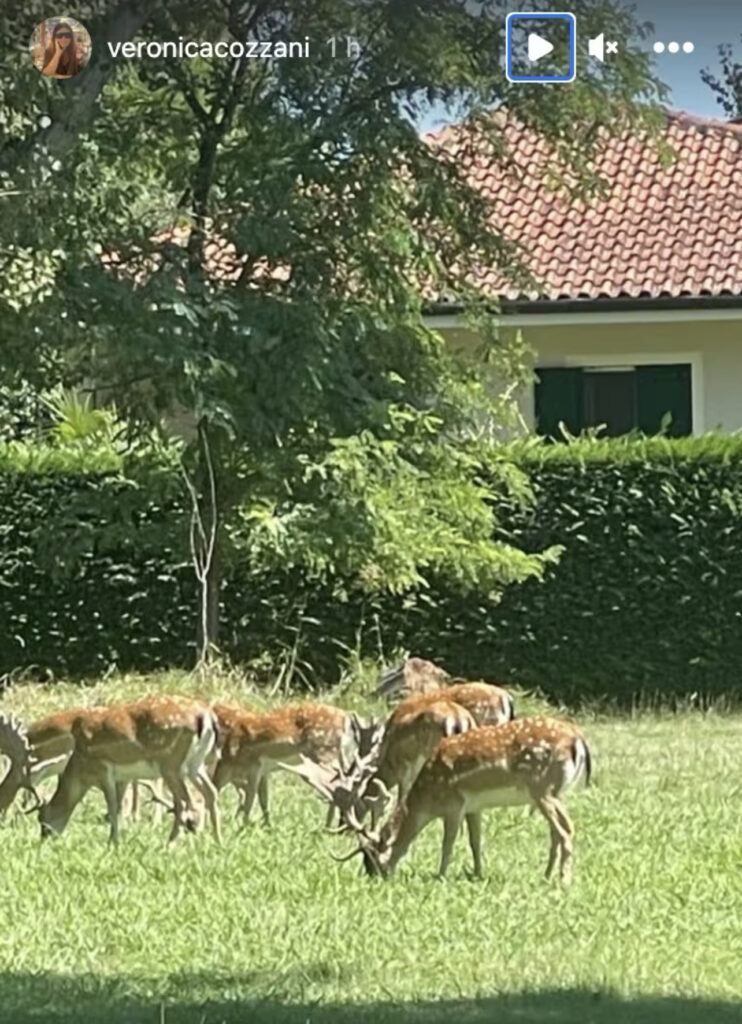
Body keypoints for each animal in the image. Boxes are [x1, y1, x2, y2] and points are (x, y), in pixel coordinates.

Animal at [212, 700, 376, 827]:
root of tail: (346, 718)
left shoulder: (254, 766)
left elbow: (250, 800)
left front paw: (244, 827)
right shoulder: (262, 771)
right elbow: (263, 799)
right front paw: (267, 827)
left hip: (324, 754)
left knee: (338, 784)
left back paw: (332, 827)